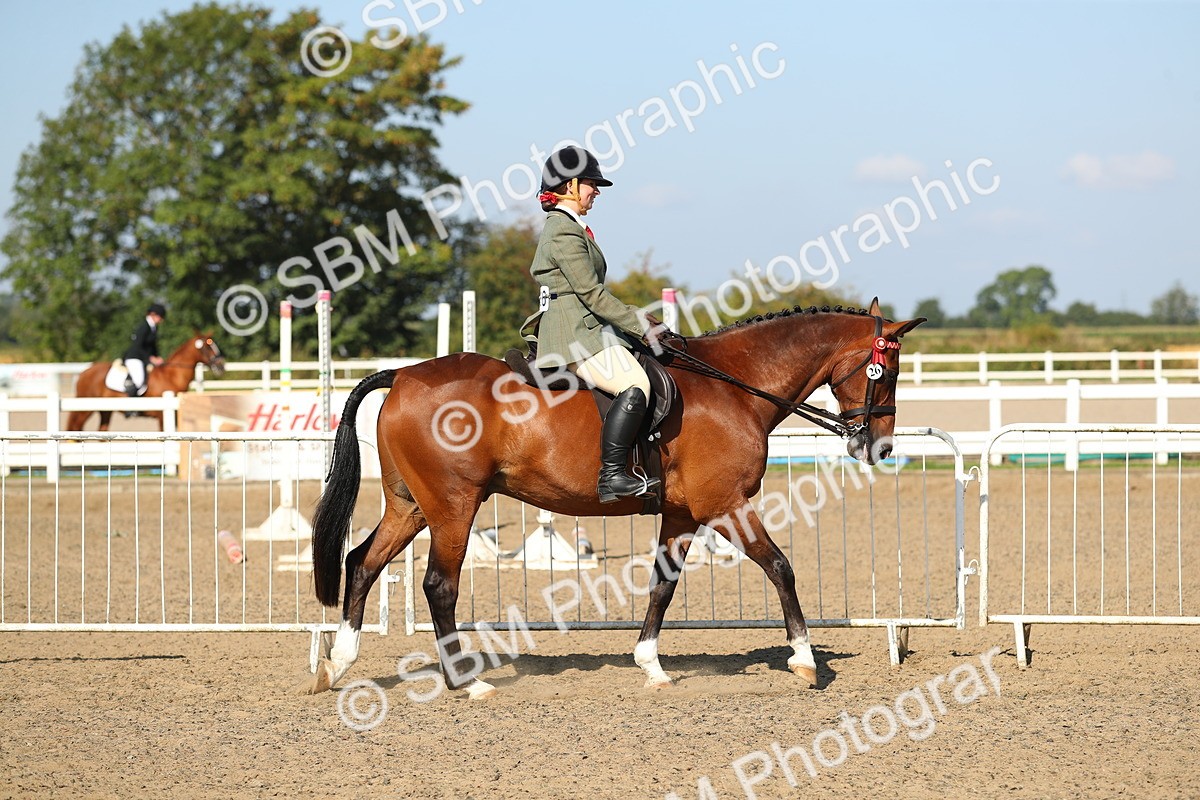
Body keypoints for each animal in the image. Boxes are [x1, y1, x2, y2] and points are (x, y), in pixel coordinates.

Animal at [66, 333, 227, 431]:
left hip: (106, 411)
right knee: (76, 428)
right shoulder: (163, 416)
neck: (171, 376)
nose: (221, 366)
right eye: (208, 346)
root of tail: (84, 372)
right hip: (85, 409)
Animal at [308, 298, 925, 698]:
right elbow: (780, 567)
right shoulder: (727, 506)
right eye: (887, 371)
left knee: (361, 562)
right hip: (454, 506)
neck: (735, 386)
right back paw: (467, 680)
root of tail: (403, 376)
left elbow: (662, 586)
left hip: (410, 505)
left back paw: (336, 665)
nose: (880, 446)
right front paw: (804, 660)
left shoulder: (681, 514)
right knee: (439, 584)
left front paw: (651, 666)